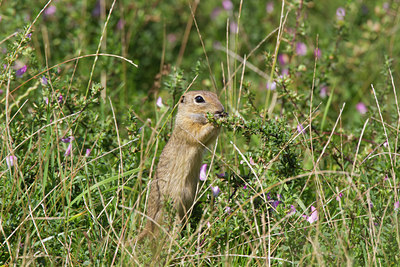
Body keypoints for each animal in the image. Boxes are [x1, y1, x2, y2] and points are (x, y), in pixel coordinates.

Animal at [141, 91, 227, 240]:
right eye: (199, 99)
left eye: (215, 95)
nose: (220, 109)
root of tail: (147, 225)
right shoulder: (188, 128)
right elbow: (200, 133)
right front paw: (216, 119)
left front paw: (223, 117)